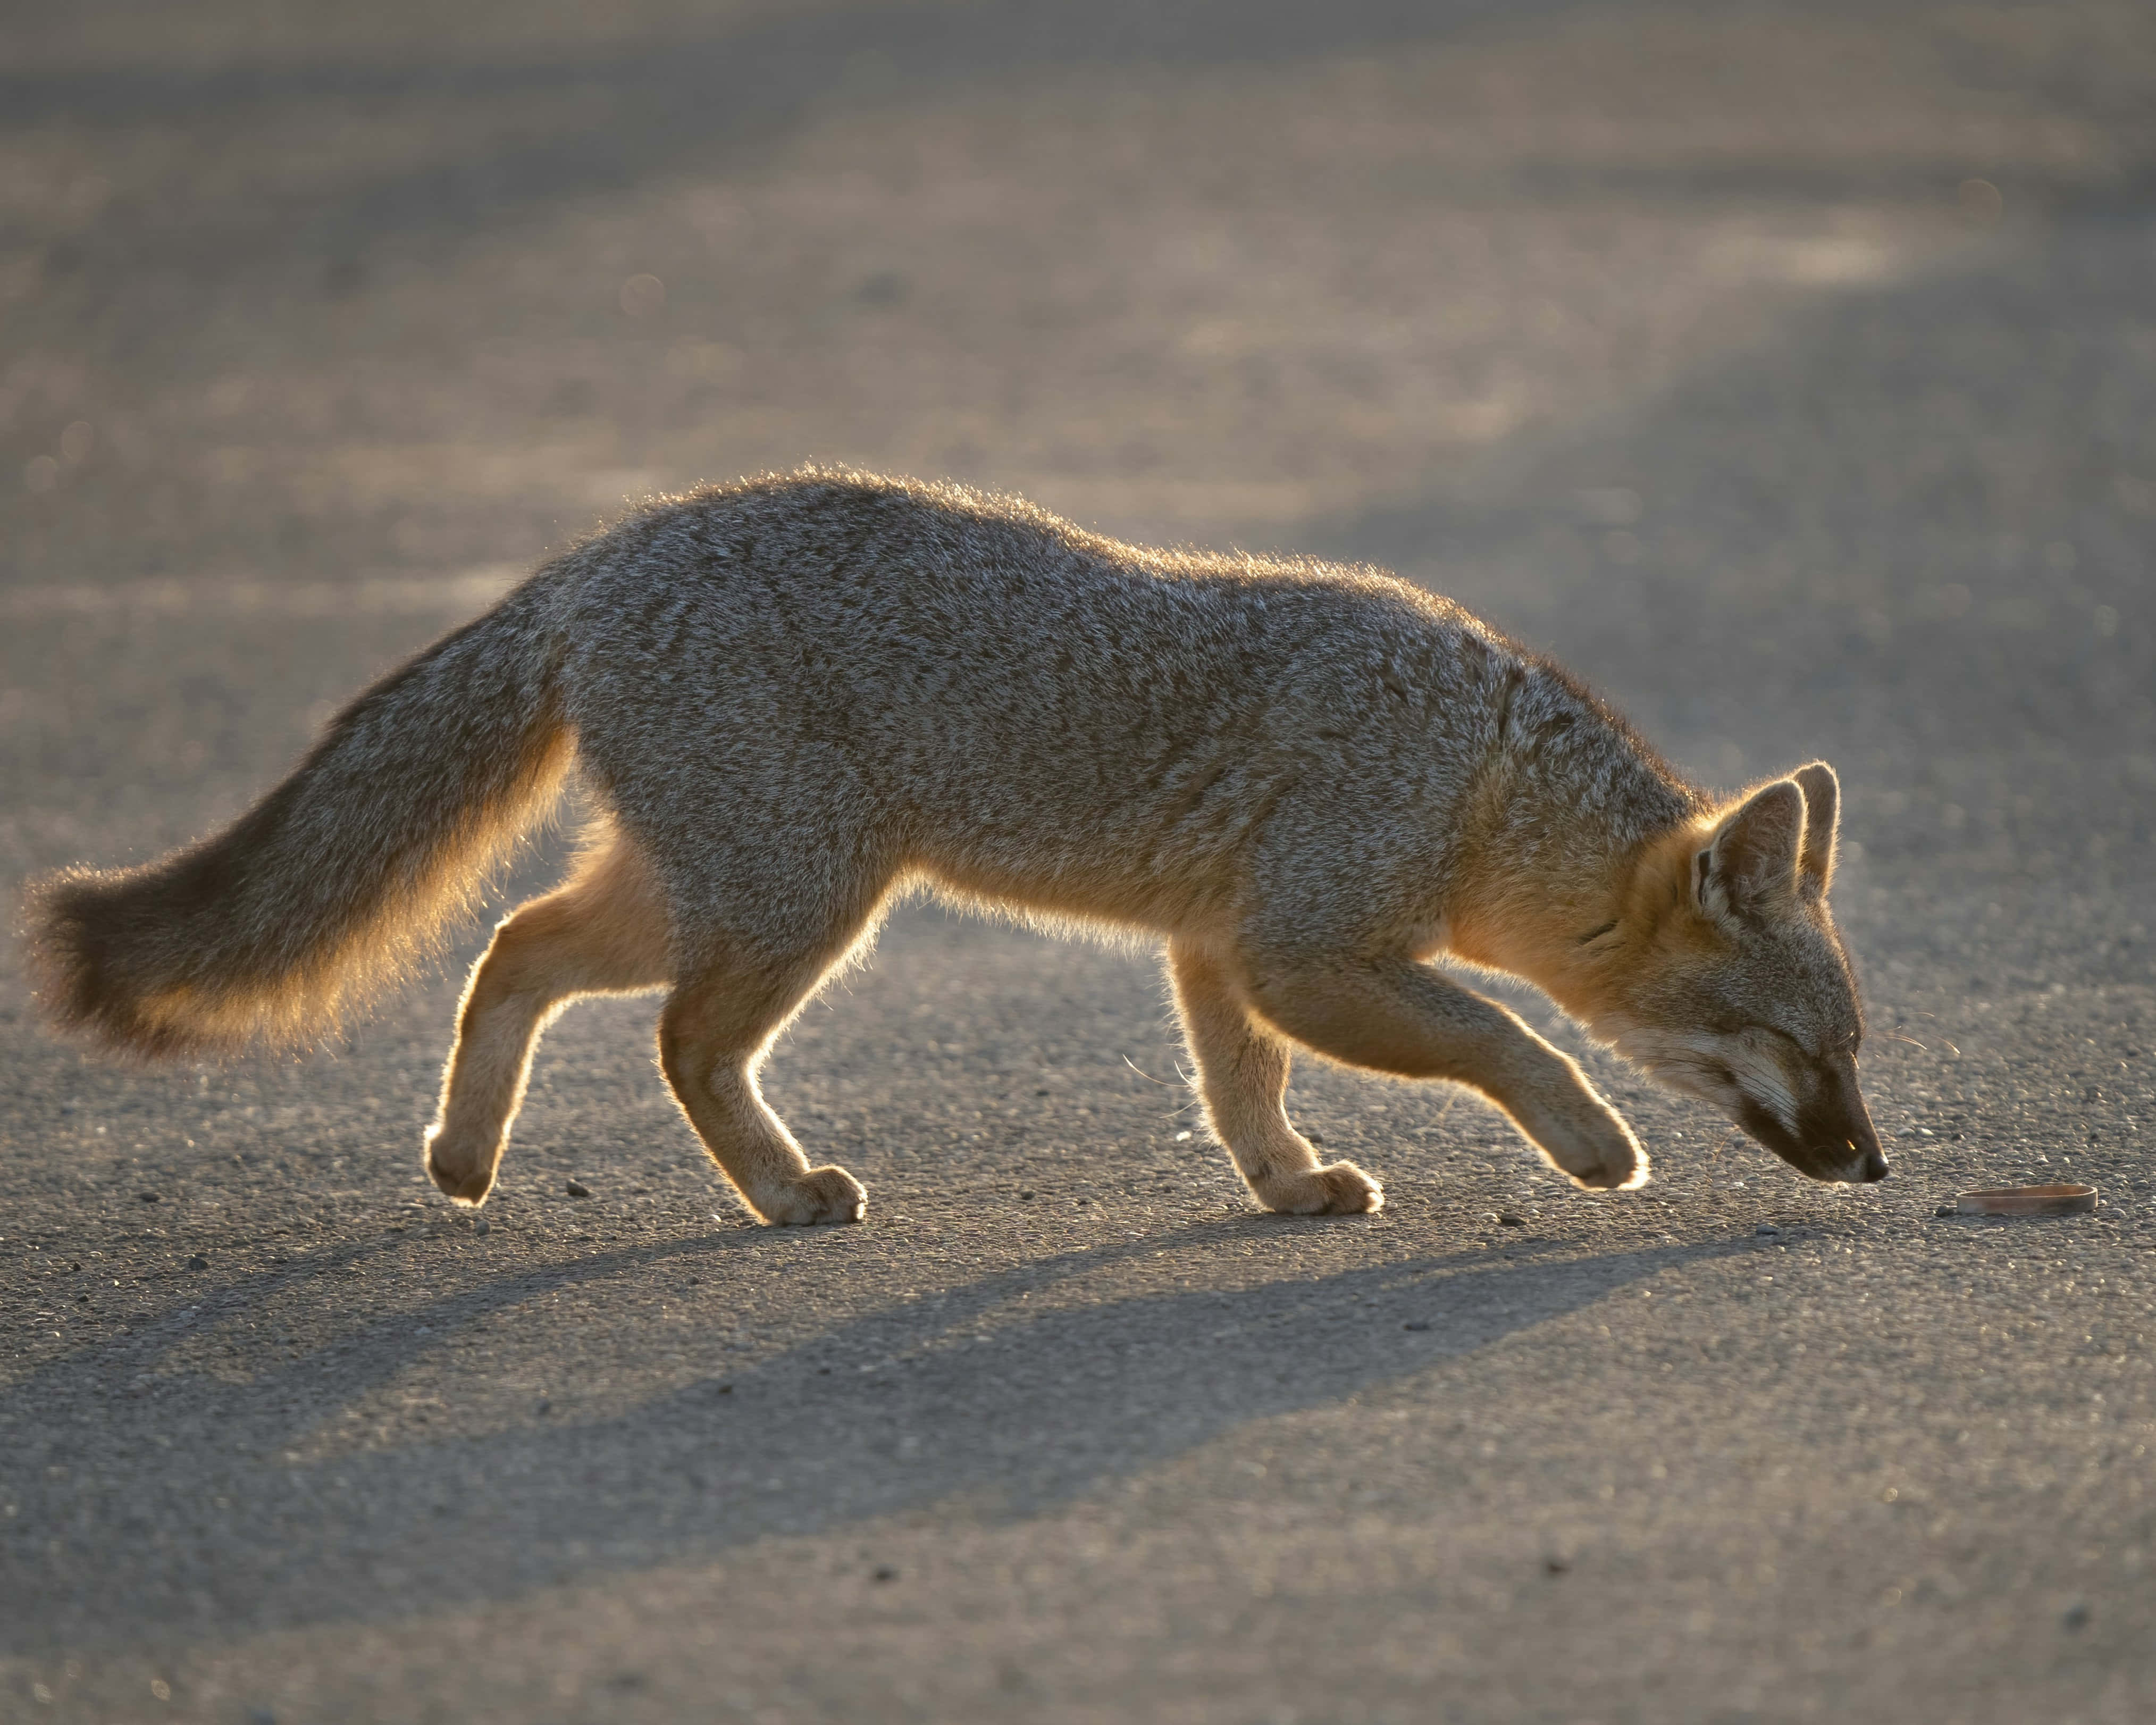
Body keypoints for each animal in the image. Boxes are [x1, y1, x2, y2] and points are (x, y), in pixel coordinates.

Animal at [23, 467, 1886, 1225]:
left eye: (1852, 1051)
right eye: (1796, 1050)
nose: (1872, 1163)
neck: (1480, 768)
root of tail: (609, 549)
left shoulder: (1215, 948)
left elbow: (1242, 1090)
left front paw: (1286, 1186)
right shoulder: (1302, 946)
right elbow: (1505, 1034)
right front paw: (1588, 1142)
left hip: (704, 888)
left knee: (514, 949)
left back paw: (467, 1160)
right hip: (799, 900)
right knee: (675, 1040)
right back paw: (782, 1193)